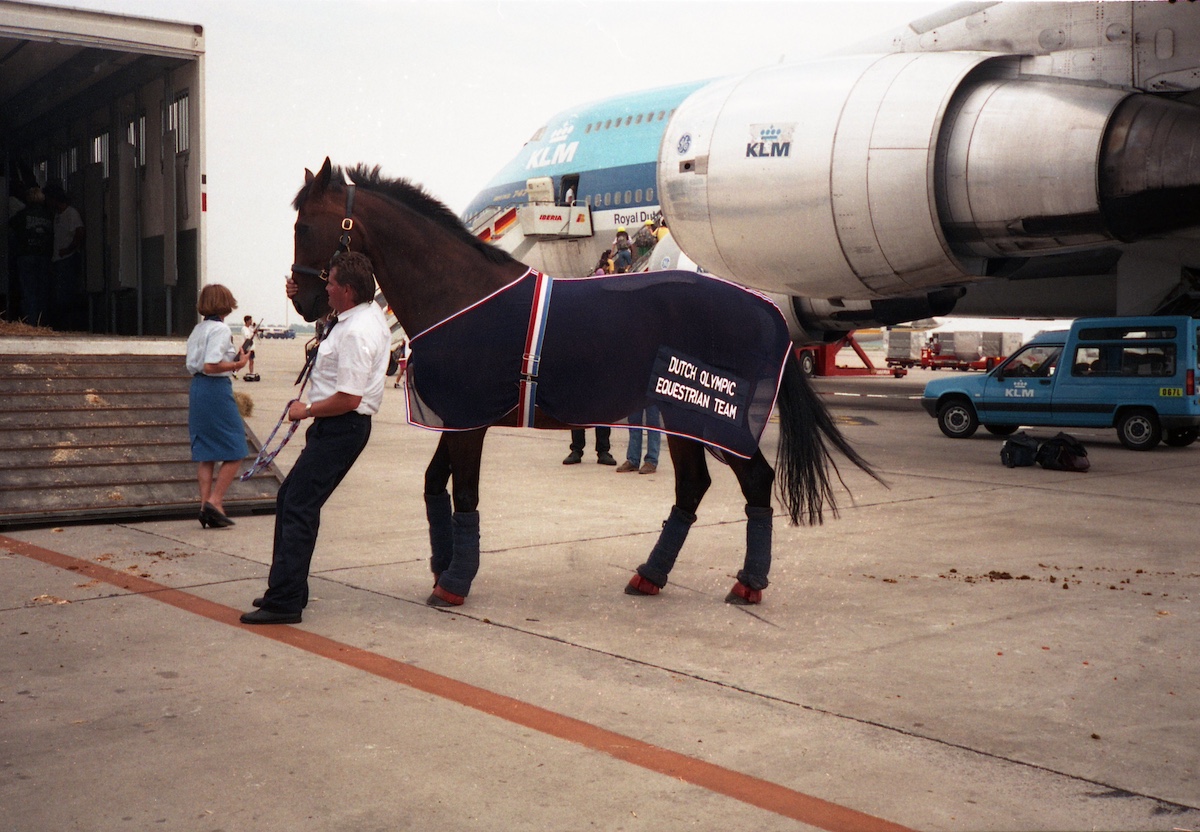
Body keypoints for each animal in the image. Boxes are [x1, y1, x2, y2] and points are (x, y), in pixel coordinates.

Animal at [285, 158, 878, 607]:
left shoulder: (468, 425)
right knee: (693, 488)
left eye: (303, 226)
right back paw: (650, 576)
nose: (302, 298)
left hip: (712, 417)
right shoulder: (456, 422)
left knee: (756, 481)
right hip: (680, 416)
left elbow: (464, 496)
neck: (462, 293)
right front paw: (442, 565)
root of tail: (760, 307)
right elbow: (435, 488)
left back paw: (748, 585)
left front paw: (454, 583)